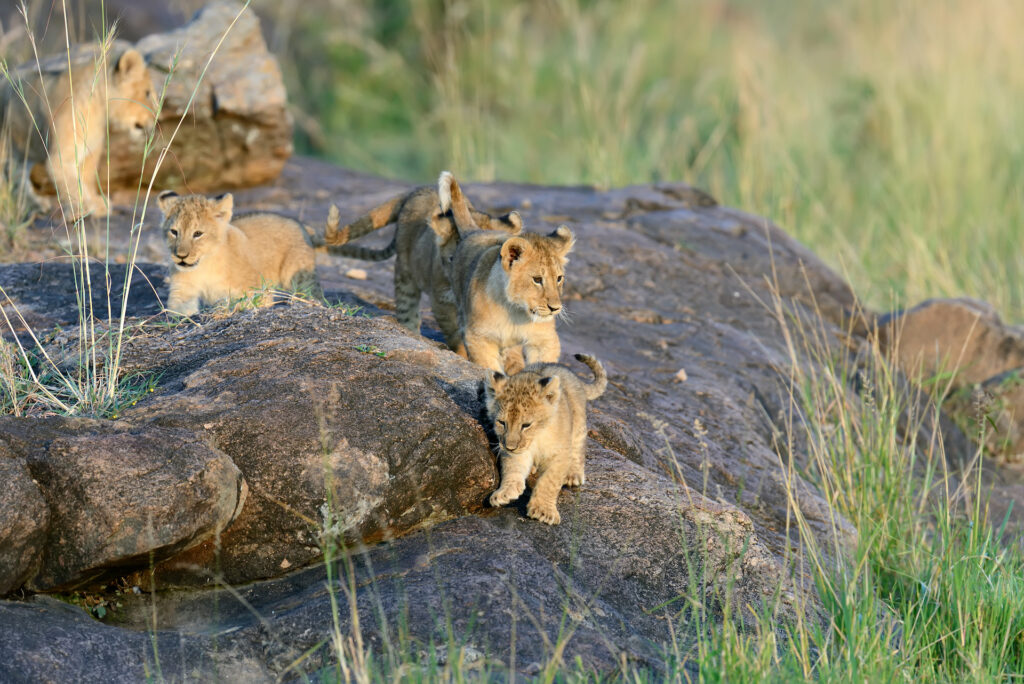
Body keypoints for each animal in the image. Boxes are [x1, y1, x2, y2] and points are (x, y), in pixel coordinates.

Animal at [158, 191, 344, 316]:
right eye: (174, 232)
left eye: (197, 233)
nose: (181, 256)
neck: (205, 265)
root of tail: (300, 224)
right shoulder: (182, 290)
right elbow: (180, 313)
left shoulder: (254, 292)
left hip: (300, 278)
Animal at [486, 353, 608, 525]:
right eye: (501, 422)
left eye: (526, 425)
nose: (510, 447)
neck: (537, 437)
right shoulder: (517, 452)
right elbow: (512, 469)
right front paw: (505, 492)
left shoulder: (560, 454)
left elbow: (549, 481)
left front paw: (543, 511)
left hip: (578, 423)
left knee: (579, 446)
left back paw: (573, 475)